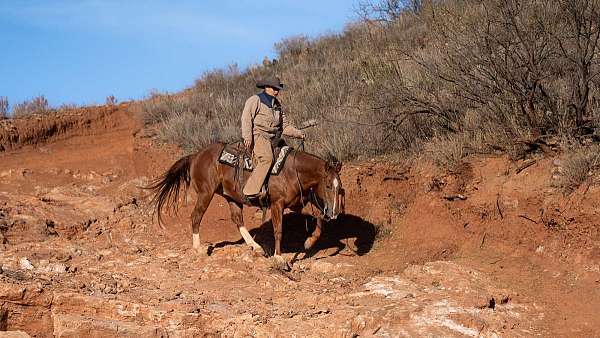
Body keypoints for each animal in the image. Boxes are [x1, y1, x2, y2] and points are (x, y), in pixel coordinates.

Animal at [146, 142, 344, 266]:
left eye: (339, 187)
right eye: (328, 185)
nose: (335, 213)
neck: (291, 171)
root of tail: (196, 155)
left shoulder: (297, 203)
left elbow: (319, 219)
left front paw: (309, 242)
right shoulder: (277, 204)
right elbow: (278, 230)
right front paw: (279, 258)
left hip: (232, 197)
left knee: (237, 220)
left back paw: (256, 247)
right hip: (205, 193)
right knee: (196, 216)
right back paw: (198, 248)